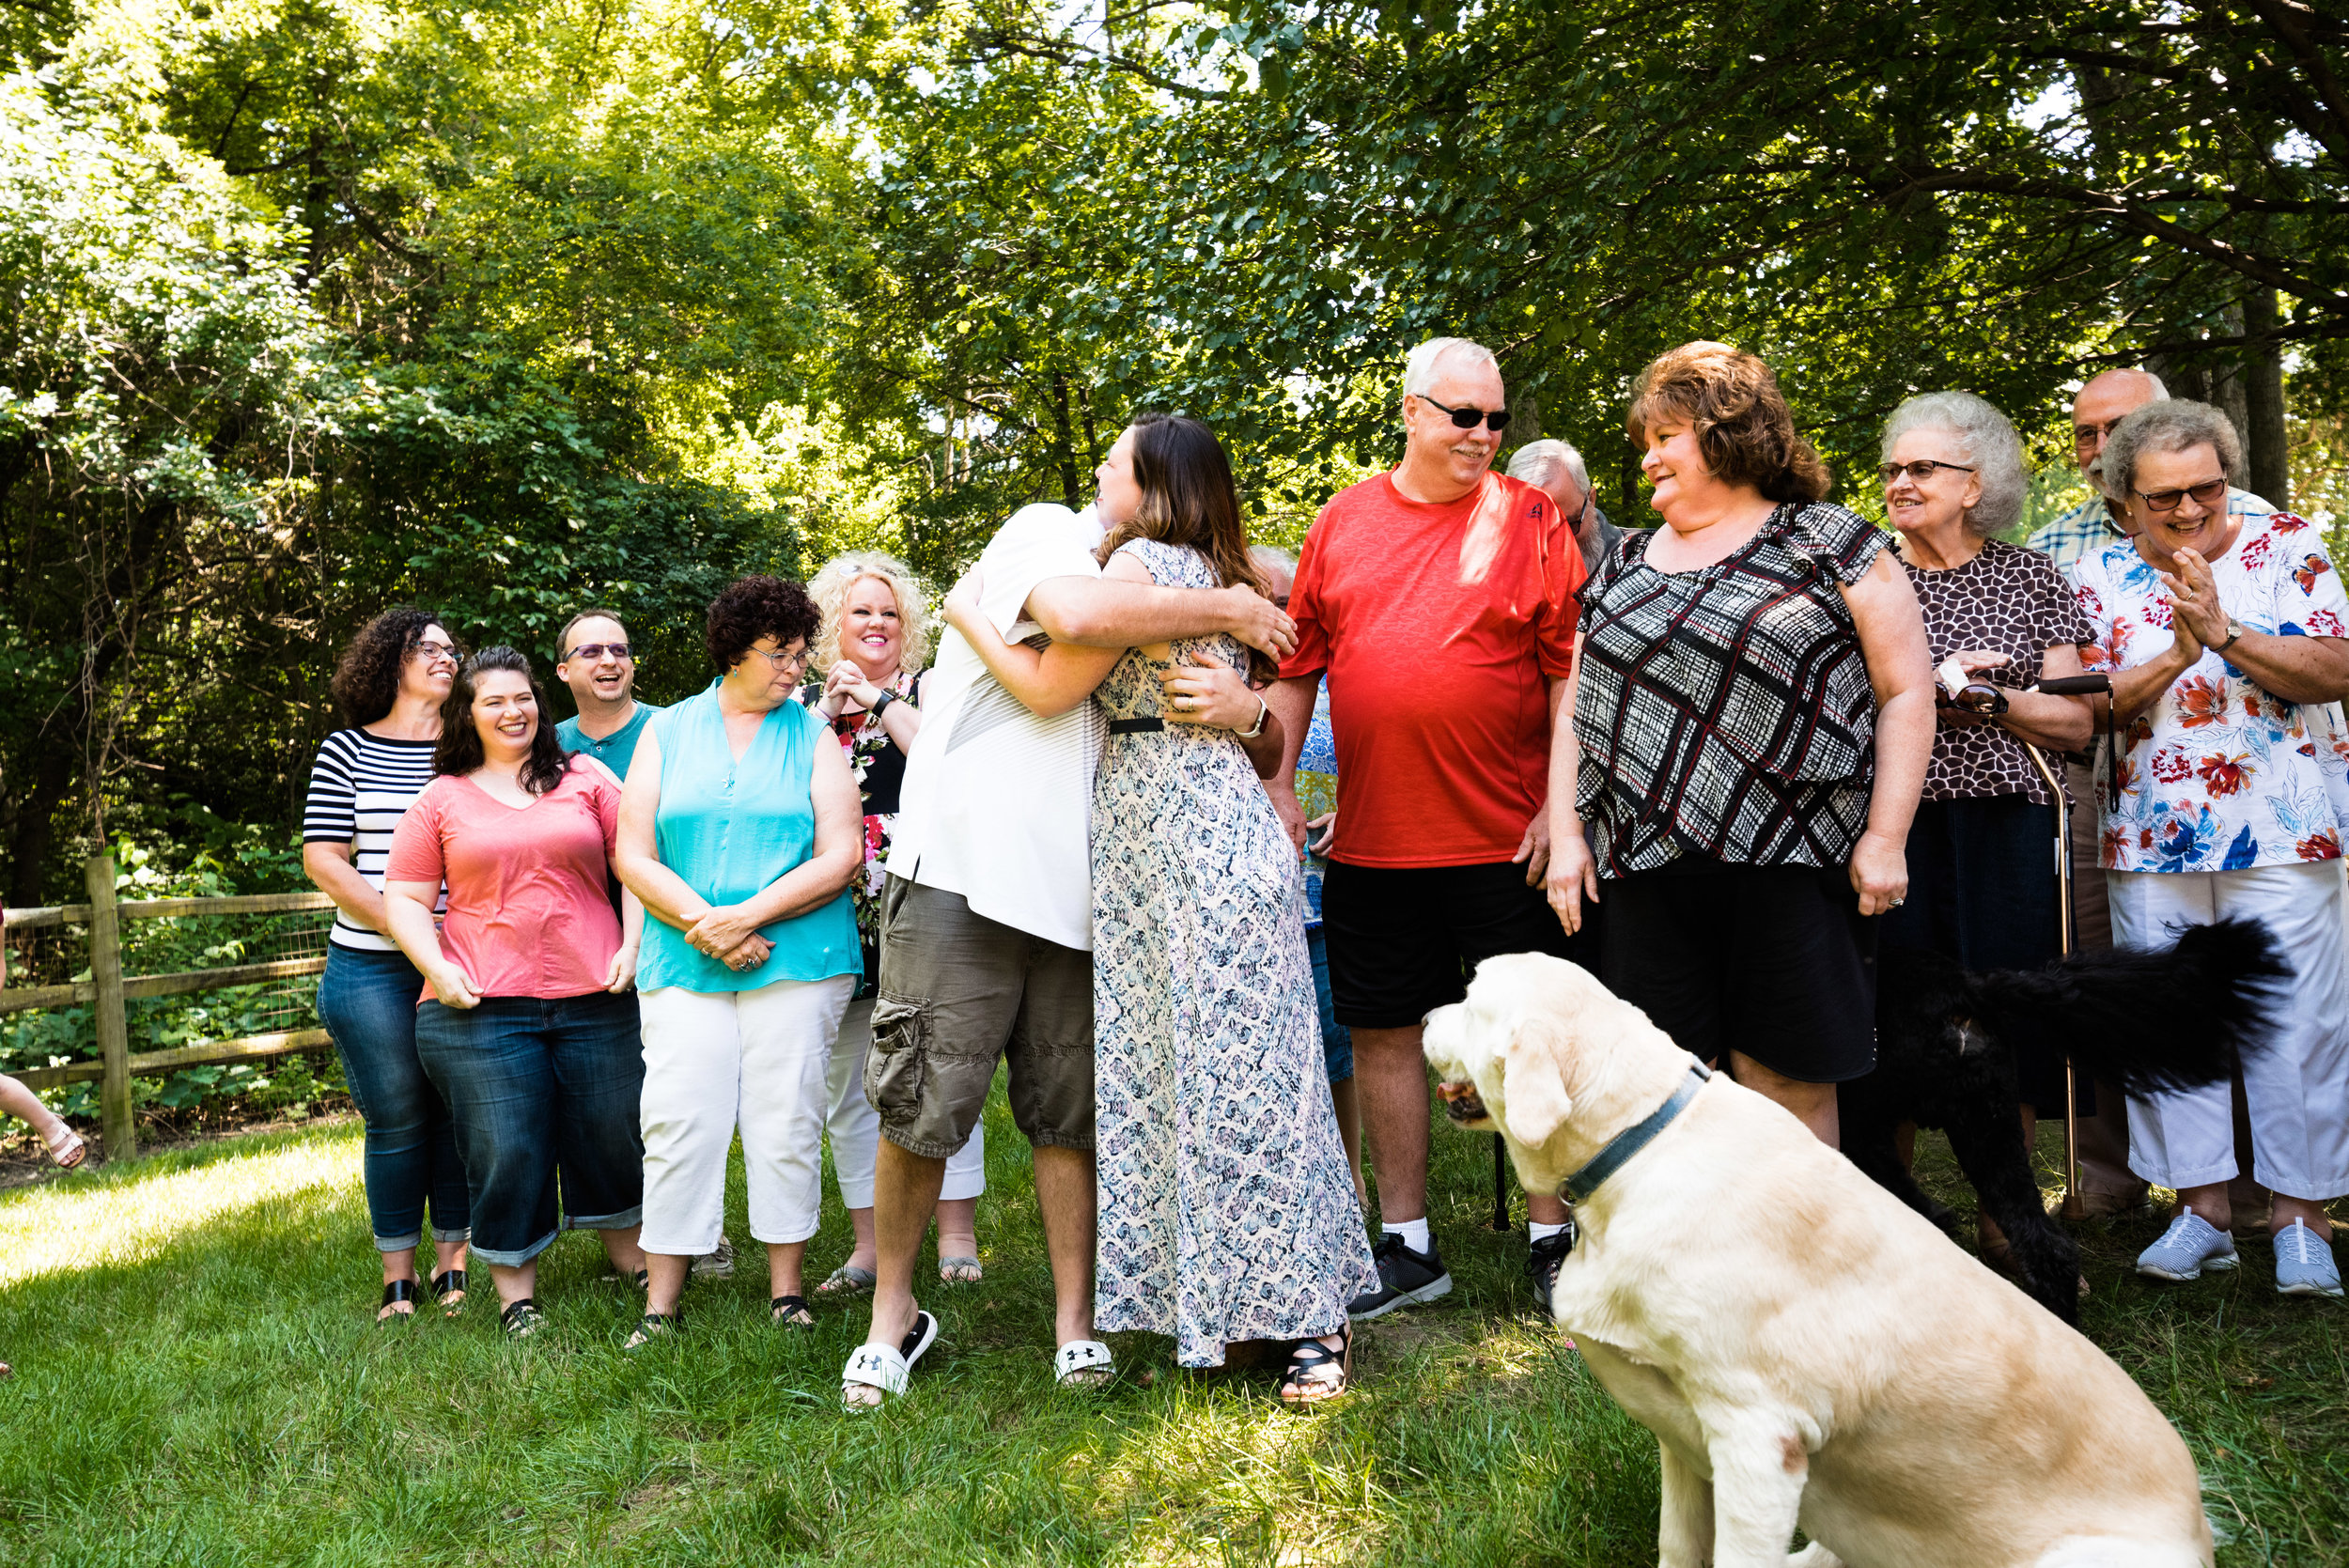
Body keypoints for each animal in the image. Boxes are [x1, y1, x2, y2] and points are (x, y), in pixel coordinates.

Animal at [1419, 948, 2208, 1568]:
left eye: (1471, 994)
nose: (1423, 1018)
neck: (1637, 1143)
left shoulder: (1757, 1443)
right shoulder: (1681, 1439)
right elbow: (1678, 1546)